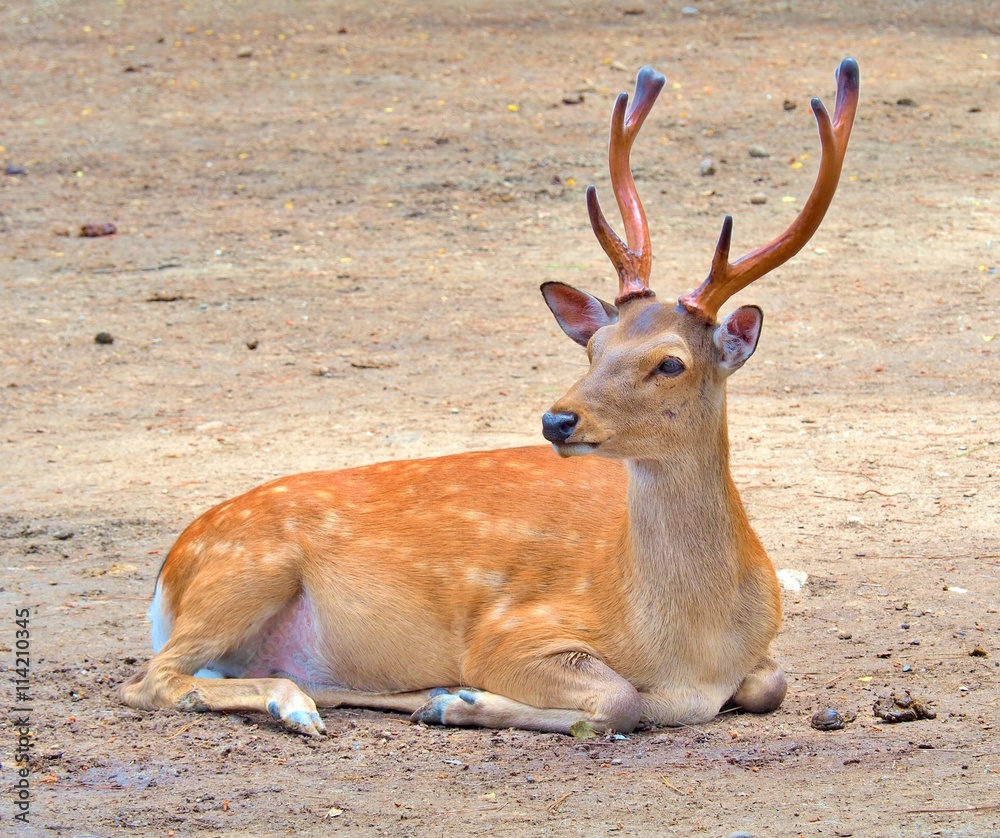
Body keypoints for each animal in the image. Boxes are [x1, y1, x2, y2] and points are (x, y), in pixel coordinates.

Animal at [121, 58, 859, 737]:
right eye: (594, 346)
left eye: (670, 362)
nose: (558, 418)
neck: (689, 651)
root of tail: (168, 570)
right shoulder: (509, 630)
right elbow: (620, 700)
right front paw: (462, 699)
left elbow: (770, 685)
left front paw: (449, 700)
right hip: (246, 568)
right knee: (149, 679)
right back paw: (300, 703)